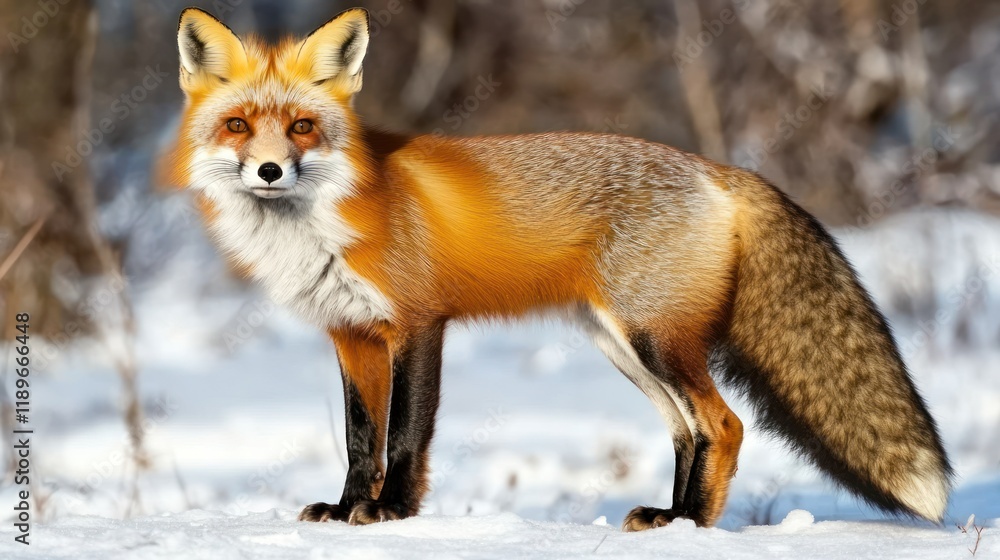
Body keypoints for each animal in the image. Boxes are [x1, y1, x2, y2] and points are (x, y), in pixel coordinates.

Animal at [164, 7, 952, 530]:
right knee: (689, 430)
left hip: (652, 337)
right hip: (623, 345)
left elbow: (405, 437)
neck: (327, 223)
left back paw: (692, 527)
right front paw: (349, 506)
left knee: (723, 424)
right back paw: (669, 518)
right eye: (238, 125)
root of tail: (718, 169)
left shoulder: (418, 323)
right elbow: (363, 440)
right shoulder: (352, 335)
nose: (269, 170)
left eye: (302, 127)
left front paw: (391, 514)